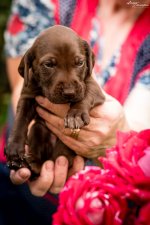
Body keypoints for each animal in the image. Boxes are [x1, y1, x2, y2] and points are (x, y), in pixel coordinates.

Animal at [4, 24, 105, 176]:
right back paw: (31, 165)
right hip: (38, 129)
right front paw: (14, 147)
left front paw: (75, 114)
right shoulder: (27, 96)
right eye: (49, 65)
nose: (69, 93)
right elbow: (20, 121)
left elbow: (86, 95)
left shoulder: (93, 86)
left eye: (80, 63)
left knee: (59, 158)